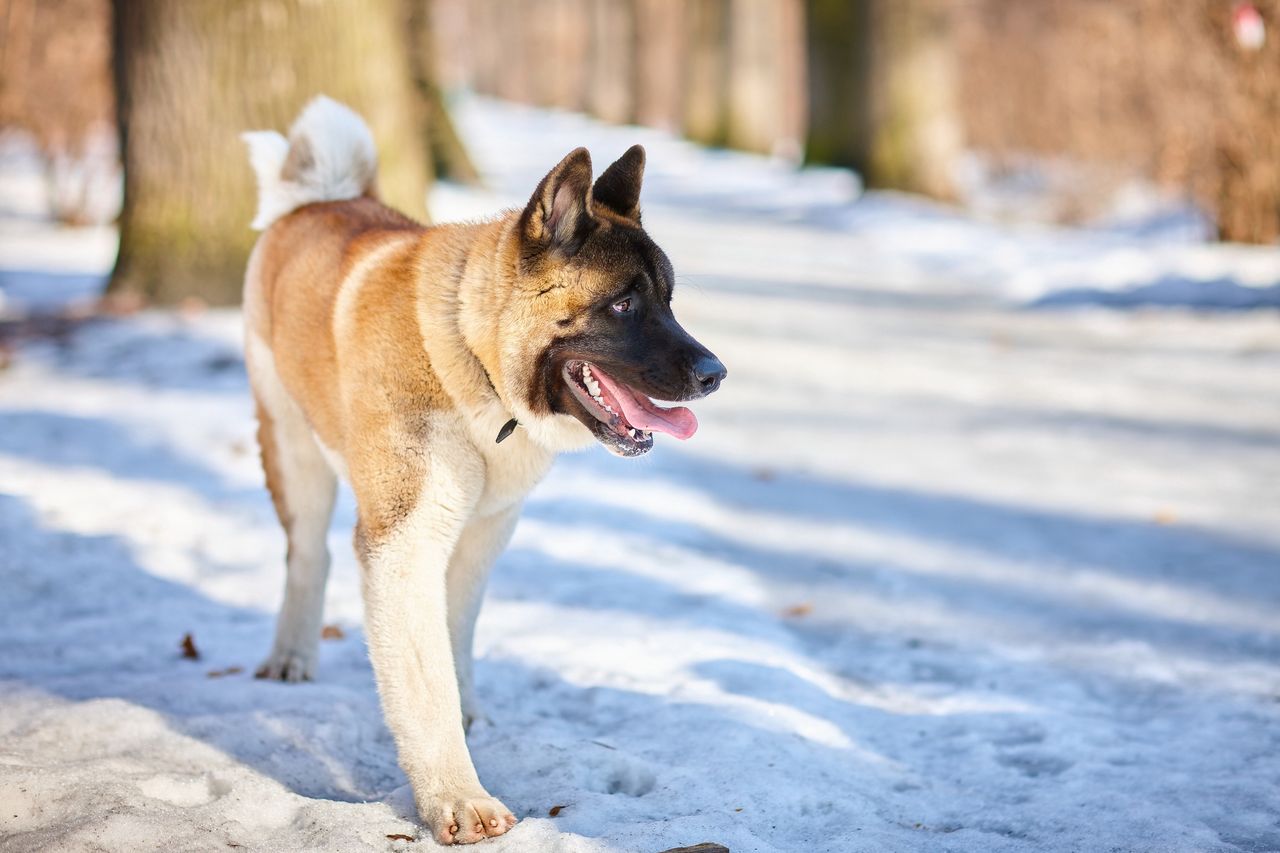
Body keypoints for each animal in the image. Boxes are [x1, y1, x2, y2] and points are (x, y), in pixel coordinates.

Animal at [239, 96, 721, 840]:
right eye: (622, 304)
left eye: (668, 300)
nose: (715, 372)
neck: (470, 357)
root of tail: (316, 199)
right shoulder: (404, 542)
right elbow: (423, 676)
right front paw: (457, 799)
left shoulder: (484, 532)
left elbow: (454, 634)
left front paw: (467, 716)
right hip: (292, 444)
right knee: (307, 553)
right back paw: (292, 654)